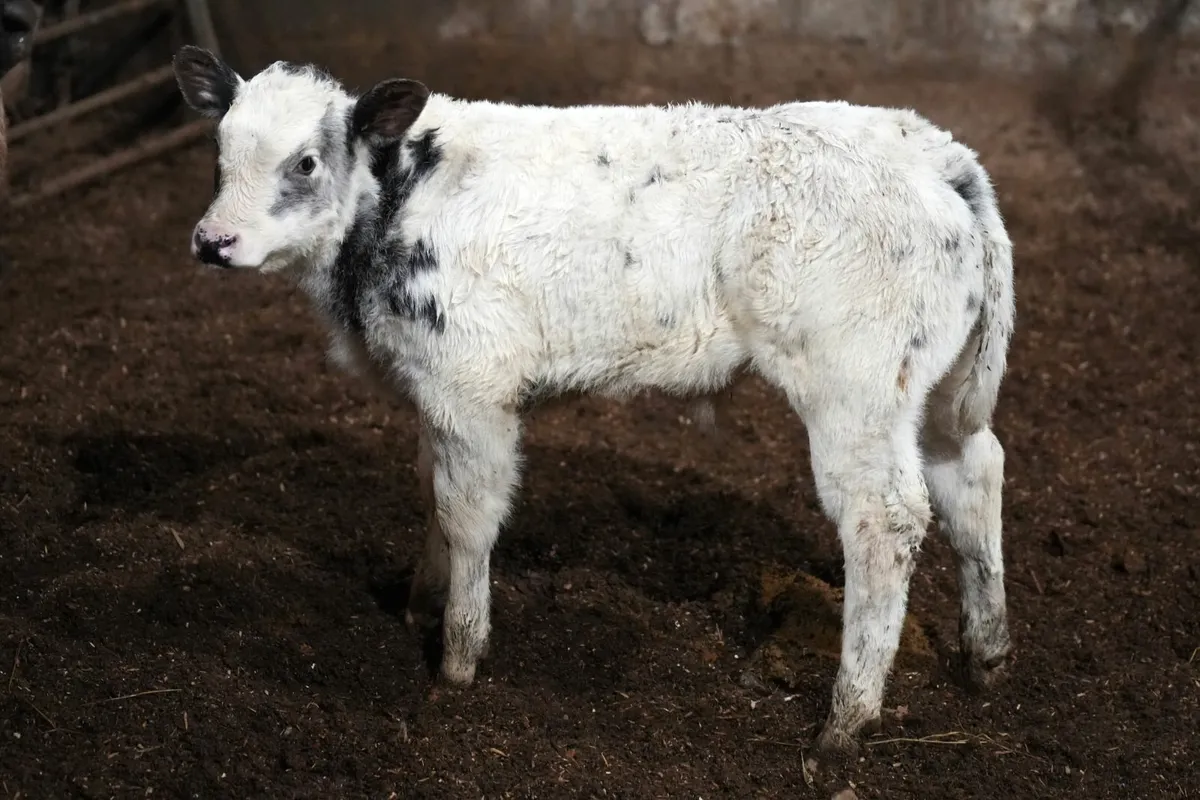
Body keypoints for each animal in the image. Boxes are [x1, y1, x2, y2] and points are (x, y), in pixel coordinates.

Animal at [172, 45, 1016, 756]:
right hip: (932, 389)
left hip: (855, 390)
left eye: (306, 161)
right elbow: (432, 493)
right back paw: (985, 656)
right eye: (218, 152)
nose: (213, 241)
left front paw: (458, 658)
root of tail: (938, 152)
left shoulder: (472, 388)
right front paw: (419, 602)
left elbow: (468, 515)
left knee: (885, 520)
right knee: (973, 475)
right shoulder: (433, 392)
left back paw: (843, 724)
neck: (392, 205)